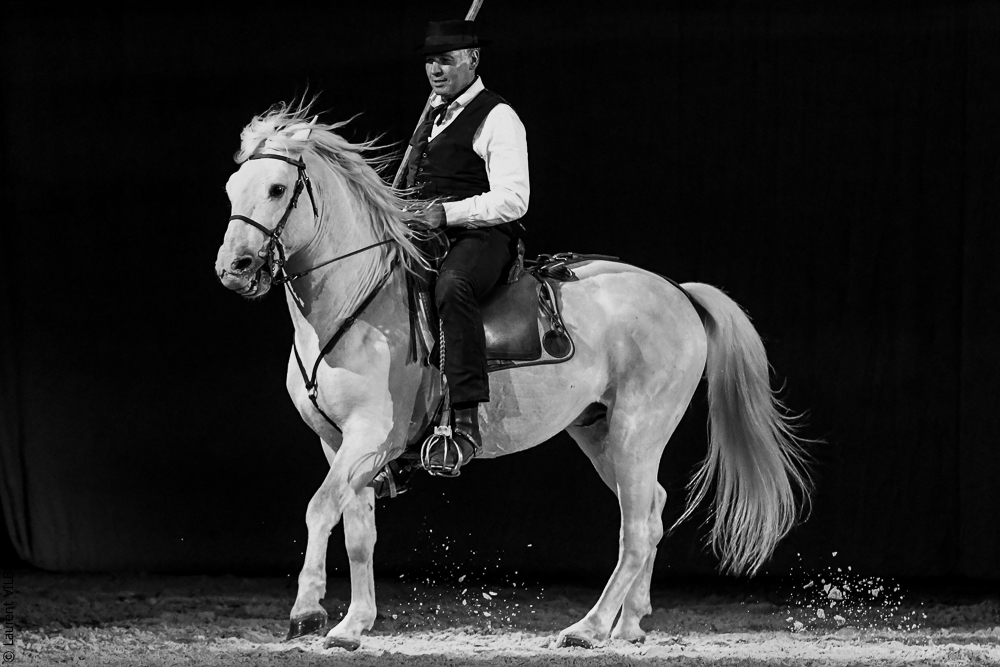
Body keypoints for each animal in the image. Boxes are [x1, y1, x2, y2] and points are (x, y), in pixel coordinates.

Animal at [213, 103, 813, 650]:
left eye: (276, 188)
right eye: (231, 188)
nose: (233, 269)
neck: (357, 303)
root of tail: (677, 291)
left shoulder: (369, 435)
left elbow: (320, 507)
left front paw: (308, 610)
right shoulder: (337, 442)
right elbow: (357, 529)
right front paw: (351, 625)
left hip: (637, 430)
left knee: (638, 528)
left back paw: (588, 628)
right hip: (600, 432)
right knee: (653, 509)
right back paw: (630, 624)